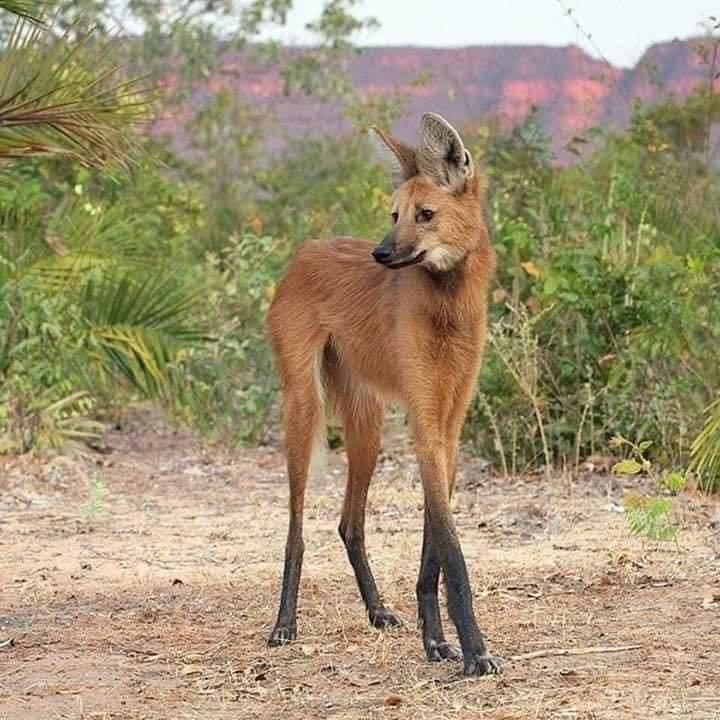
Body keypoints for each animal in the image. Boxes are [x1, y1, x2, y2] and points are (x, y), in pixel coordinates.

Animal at [266, 111, 500, 676]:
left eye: (426, 214)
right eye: (394, 214)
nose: (380, 252)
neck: (448, 306)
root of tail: (305, 249)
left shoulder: (449, 426)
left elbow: (434, 545)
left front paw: (437, 642)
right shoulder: (424, 420)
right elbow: (451, 548)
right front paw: (474, 651)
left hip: (367, 424)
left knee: (349, 523)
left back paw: (377, 611)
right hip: (304, 407)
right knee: (296, 527)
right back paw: (284, 624)